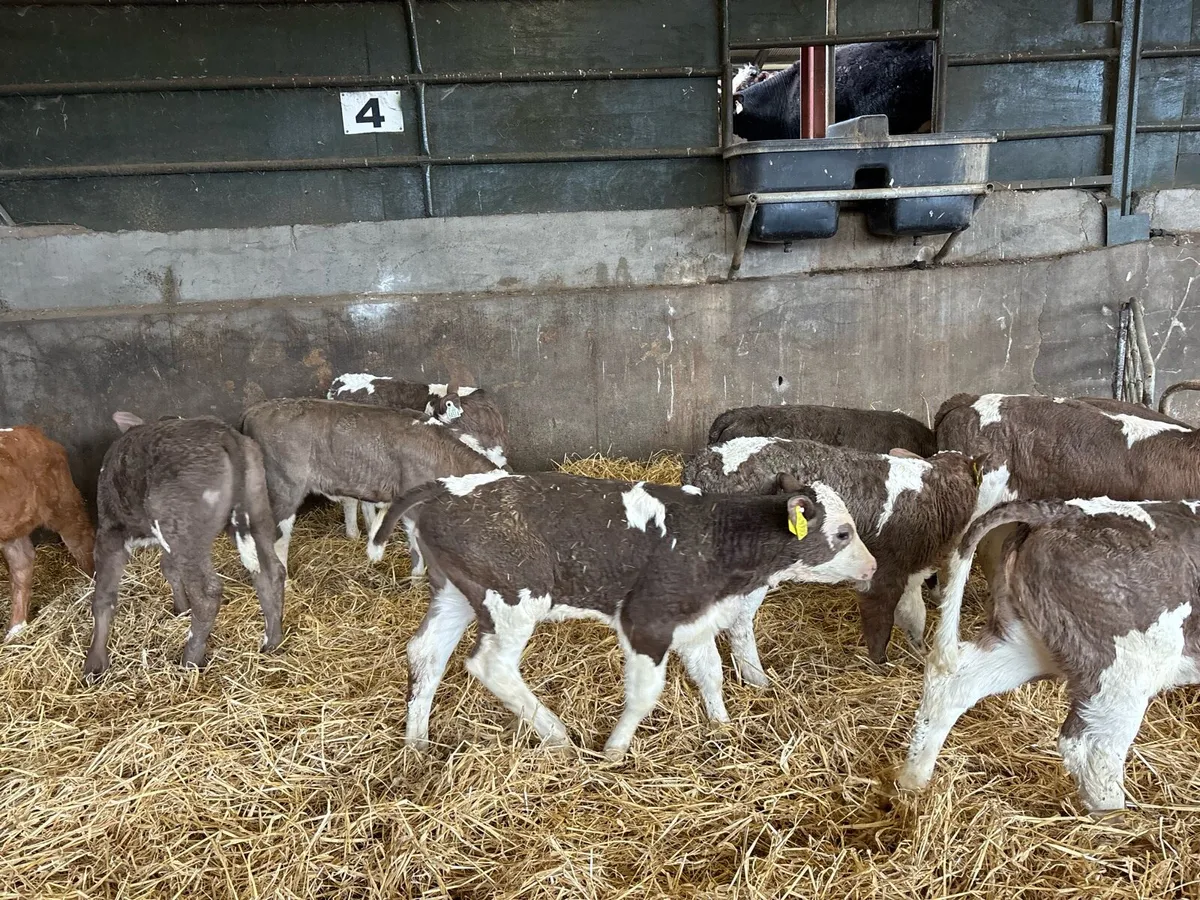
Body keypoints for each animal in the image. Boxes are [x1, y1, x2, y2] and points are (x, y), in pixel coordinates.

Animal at [83, 413, 285, 676]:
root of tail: (223, 432)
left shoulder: (110, 532)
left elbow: (103, 595)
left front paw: (95, 662)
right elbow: (168, 568)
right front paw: (181, 607)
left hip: (182, 531)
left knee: (207, 593)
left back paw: (190, 659)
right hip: (255, 510)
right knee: (270, 571)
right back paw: (272, 640)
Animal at [367, 471, 875, 759]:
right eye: (843, 533)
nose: (872, 567)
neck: (715, 537)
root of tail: (446, 488)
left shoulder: (694, 623)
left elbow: (711, 674)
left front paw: (722, 725)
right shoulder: (646, 621)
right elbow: (646, 693)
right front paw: (615, 748)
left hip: (454, 592)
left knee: (426, 653)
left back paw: (417, 744)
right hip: (513, 597)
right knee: (491, 664)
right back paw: (556, 734)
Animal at [683, 437, 977, 664]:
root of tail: (702, 465)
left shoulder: (911, 573)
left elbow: (914, 616)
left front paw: (920, 650)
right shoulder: (886, 572)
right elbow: (881, 622)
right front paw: (882, 662)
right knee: (738, 623)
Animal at [899, 497, 1200, 814]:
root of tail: (1056, 512)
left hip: (1023, 641)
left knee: (953, 684)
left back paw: (913, 779)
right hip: (1125, 665)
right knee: (1092, 746)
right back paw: (1114, 818)